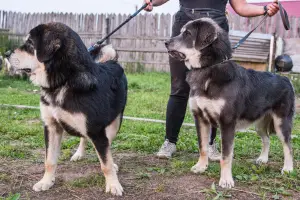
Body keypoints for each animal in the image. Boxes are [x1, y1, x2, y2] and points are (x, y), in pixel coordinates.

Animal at [7, 21, 126, 195]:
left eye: (30, 43)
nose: (6, 53)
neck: (64, 81)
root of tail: (111, 61)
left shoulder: (96, 130)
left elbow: (106, 163)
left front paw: (113, 185)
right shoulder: (51, 126)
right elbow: (49, 160)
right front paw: (46, 182)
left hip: (114, 124)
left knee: (107, 146)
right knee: (84, 138)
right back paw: (78, 154)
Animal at [165, 18, 294, 188]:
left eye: (187, 34)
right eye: (181, 32)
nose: (166, 42)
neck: (207, 68)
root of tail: (286, 79)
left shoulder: (227, 122)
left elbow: (226, 156)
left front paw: (226, 180)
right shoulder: (200, 119)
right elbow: (203, 147)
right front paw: (201, 167)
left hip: (281, 123)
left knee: (288, 146)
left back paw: (288, 168)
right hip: (259, 124)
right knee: (267, 139)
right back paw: (263, 159)